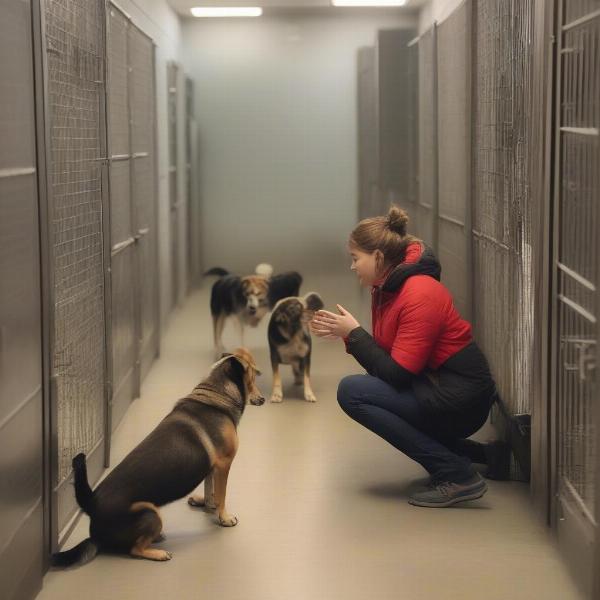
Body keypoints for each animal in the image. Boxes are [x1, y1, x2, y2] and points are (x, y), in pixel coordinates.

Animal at [52, 346, 264, 568]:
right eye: (252, 377)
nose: (264, 399)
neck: (216, 394)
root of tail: (91, 506)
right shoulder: (224, 464)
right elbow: (222, 495)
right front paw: (224, 517)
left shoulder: (212, 467)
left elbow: (209, 490)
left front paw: (207, 504)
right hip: (151, 513)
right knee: (134, 550)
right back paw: (158, 553)